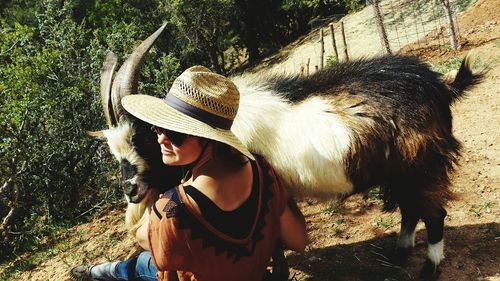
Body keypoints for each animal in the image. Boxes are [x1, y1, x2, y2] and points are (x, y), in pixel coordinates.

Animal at [92, 25, 482, 278]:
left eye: (147, 138)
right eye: (114, 150)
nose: (130, 189)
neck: (222, 131)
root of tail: (439, 86)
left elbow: (273, 241)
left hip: (422, 164)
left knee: (433, 213)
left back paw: (429, 268)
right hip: (398, 171)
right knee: (410, 209)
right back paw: (398, 254)